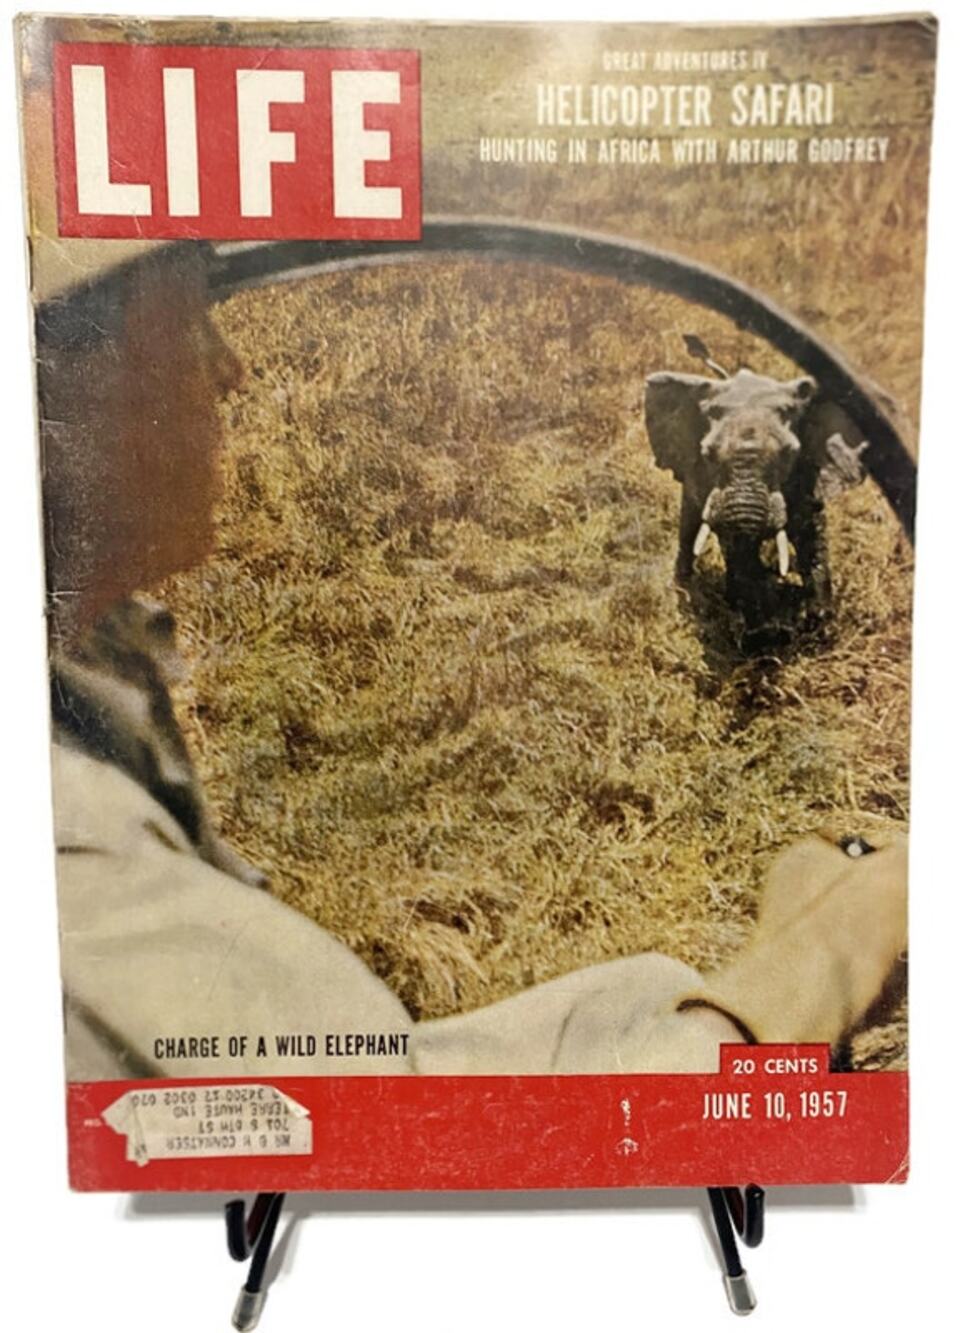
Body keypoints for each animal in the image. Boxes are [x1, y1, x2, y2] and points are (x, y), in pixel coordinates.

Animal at [644, 367, 869, 621]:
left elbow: (810, 529)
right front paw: (757, 612)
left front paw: (816, 615)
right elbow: (733, 542)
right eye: (707, 454)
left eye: (790, 454)